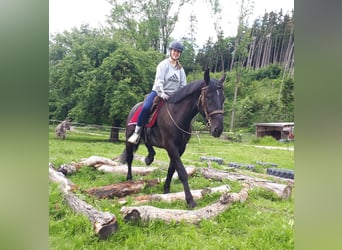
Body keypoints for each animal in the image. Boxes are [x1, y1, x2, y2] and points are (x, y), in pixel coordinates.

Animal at [123, 69, 227, 209]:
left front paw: (166, 189)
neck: (177, 114)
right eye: (208, 97)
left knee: (148, 144)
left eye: (223, 98)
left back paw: (149, 157)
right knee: (129, 158)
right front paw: (190, 200)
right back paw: (129, 178)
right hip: (129, 140)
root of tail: (134, 108)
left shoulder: (180, 148)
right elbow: (182, 172)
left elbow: (172, 169)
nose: (218, 129)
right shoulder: (170, 146)